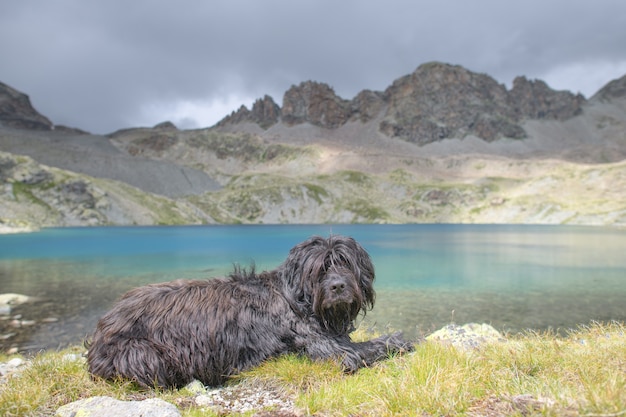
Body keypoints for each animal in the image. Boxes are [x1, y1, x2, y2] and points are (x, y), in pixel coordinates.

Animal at [85, 234, 412, 386]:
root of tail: (102, 328)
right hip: (144, 354)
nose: (338, 286)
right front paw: (399, 340)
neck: (298, 299)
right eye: (320, 268)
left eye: (345, 263)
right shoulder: (331, 351)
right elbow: (369, 347)